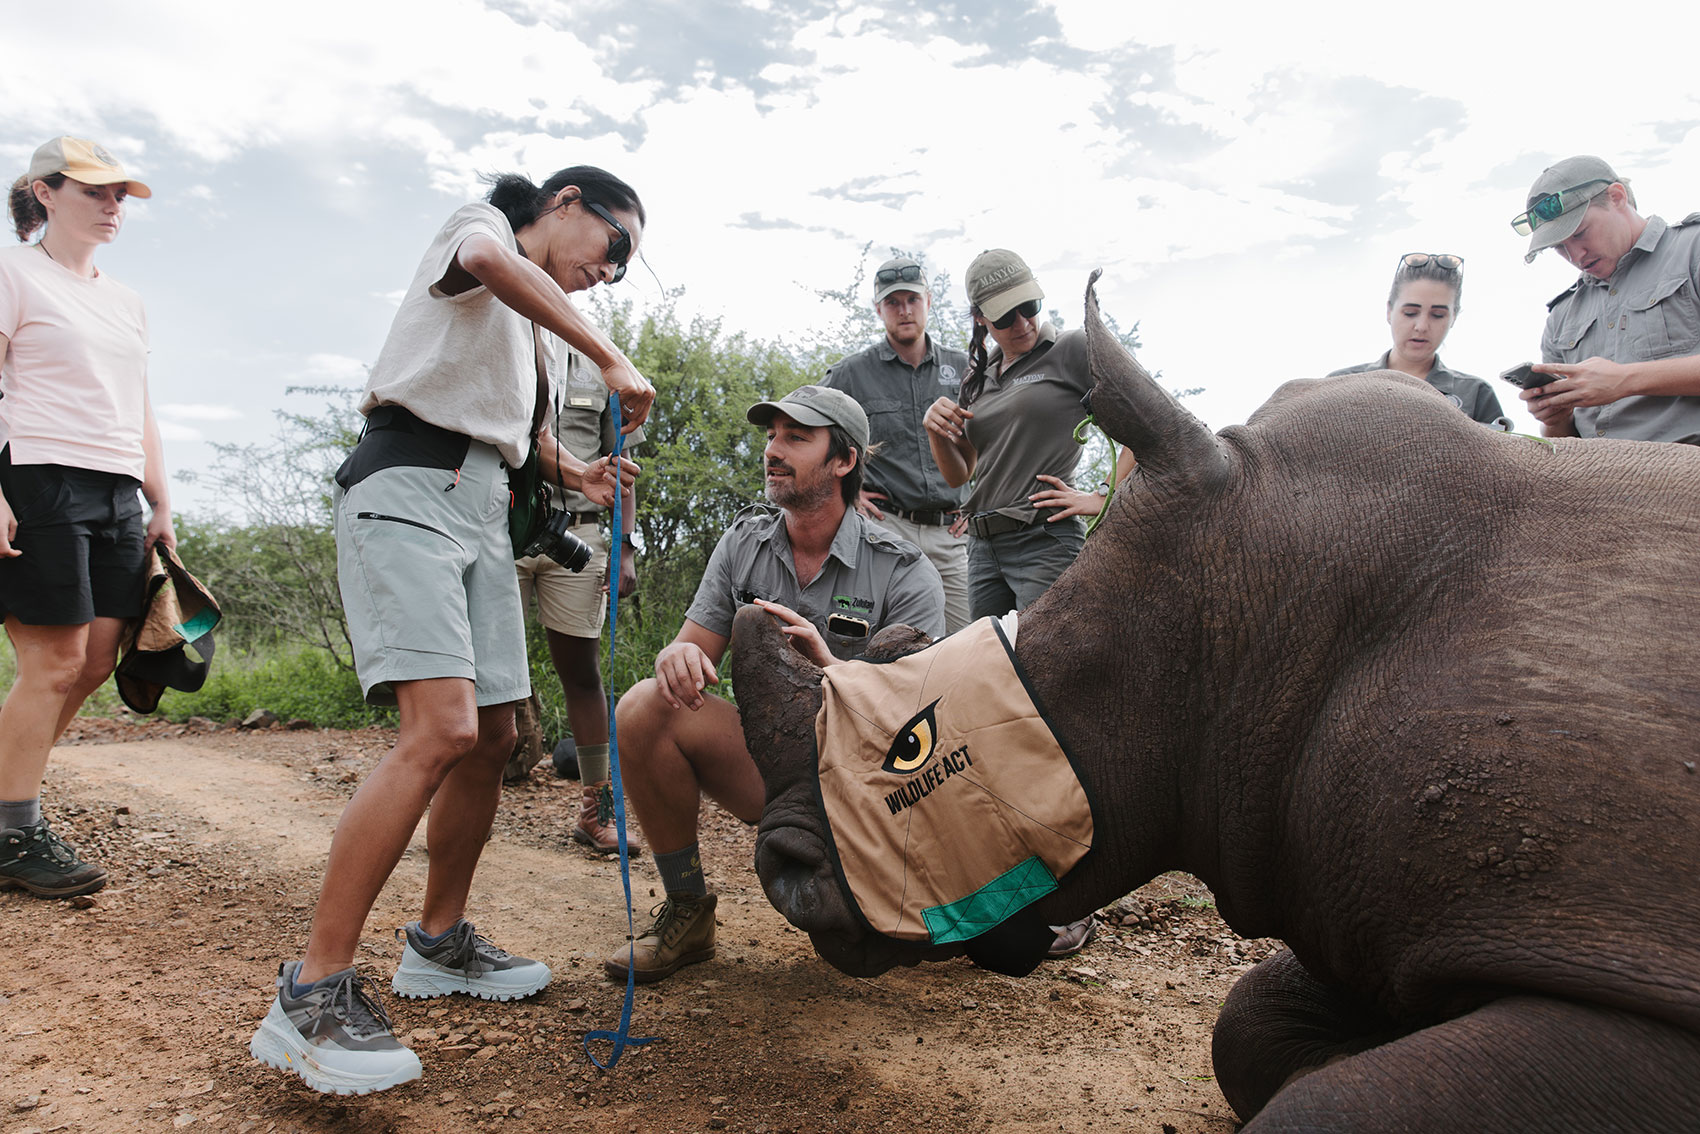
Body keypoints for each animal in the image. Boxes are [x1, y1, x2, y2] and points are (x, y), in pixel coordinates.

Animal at [729, 273, 1700, 1132]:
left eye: (911, 747)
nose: (779, 864)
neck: (1250, 630)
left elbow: (1329, 1106)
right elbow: (1245, 1024)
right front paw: (1344, 1046)